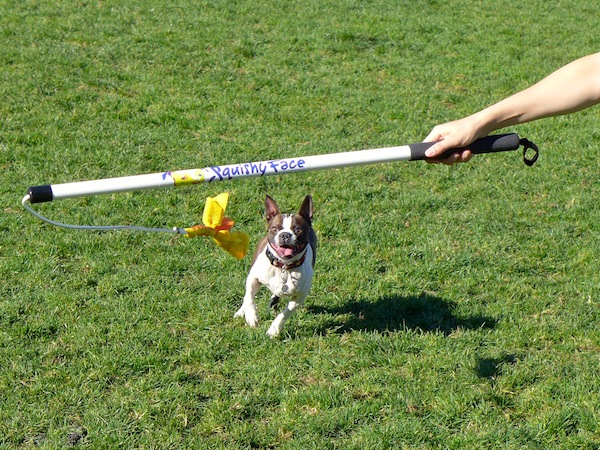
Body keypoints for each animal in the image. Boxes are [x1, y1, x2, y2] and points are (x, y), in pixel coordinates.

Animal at [235, 195, 316, 337]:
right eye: (274, 229)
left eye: (298, 230)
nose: (285, 235)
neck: (283, 266)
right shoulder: (253, 277)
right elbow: (249, 297)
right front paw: (251, 316)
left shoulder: (300, 296)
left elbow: (285, 313)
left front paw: (274, 329)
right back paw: (241, 312)